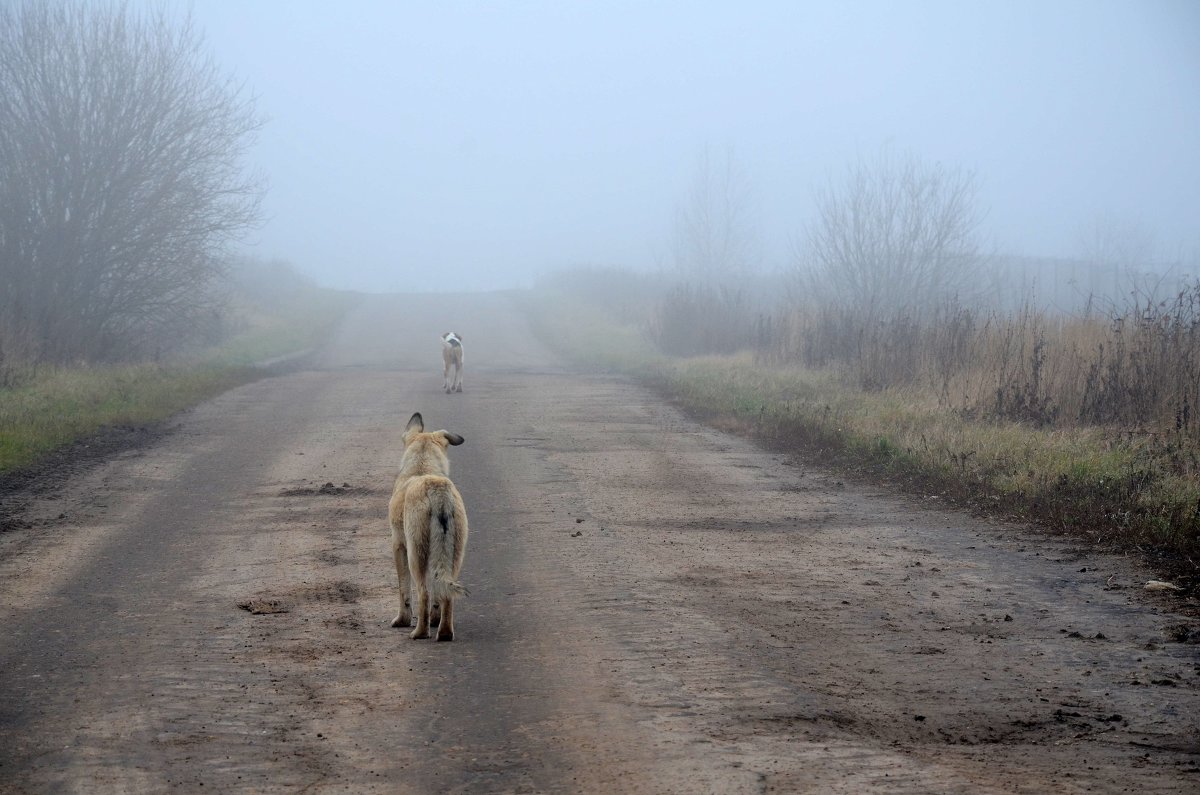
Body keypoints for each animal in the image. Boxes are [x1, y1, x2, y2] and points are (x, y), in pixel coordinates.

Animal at [391, 410, 470, 643]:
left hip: (415, 556)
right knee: (447, 594)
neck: (422, 468)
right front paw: (434, 619)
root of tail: (436, 487)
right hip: (455, 555)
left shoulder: (398, 547)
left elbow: (404, 590)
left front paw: (402, 620)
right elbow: (438, 595)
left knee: (423, 592)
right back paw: (443, 633)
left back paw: (419, 632)